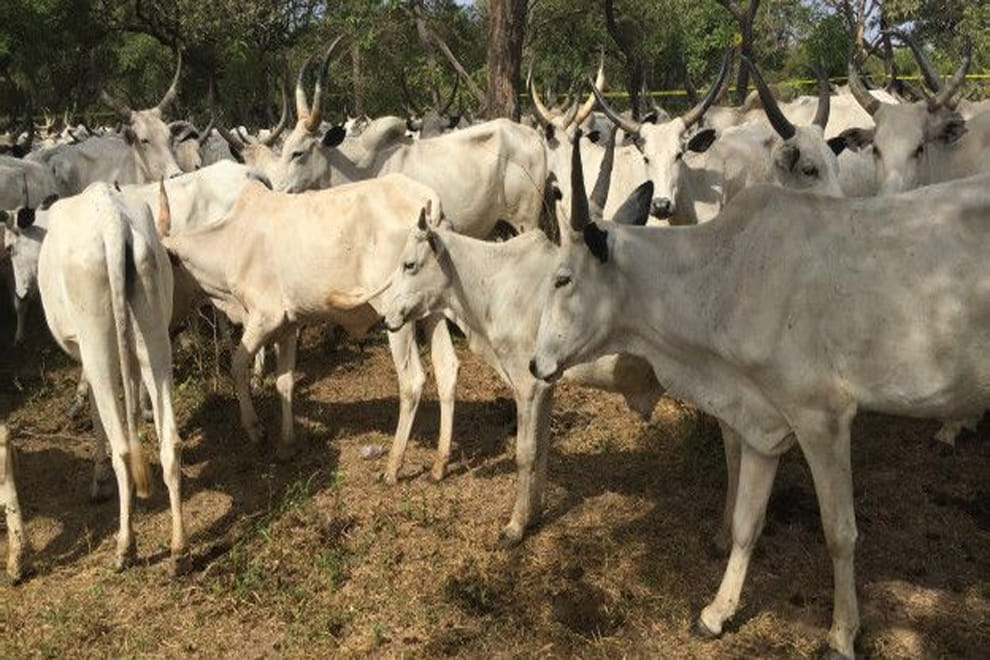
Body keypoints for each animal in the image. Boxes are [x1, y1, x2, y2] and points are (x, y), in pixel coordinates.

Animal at [38, 182, 186, 573]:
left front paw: (98, 477)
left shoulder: (85, 353)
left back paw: (125, 546)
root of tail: (112, 220)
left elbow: (95, 411)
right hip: (153, 334)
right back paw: (179, 548)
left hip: (97, 342)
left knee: (123, 448)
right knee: (169, 441)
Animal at [529, 141, 990, 657]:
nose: (536, 364)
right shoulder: (760, 425)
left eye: (563, 279)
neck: (725, 277)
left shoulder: (823, 418)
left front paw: (841, 634)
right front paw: (716, 613)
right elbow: (747, 522)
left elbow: (840, 533)